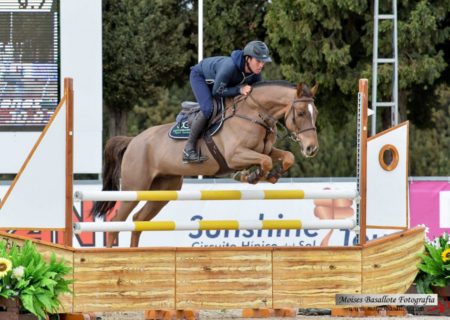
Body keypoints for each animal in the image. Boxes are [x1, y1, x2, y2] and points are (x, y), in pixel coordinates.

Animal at [92, 80, 320, 248]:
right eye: (301, 113)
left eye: (315, 113)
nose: (312, 148)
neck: (254, 113)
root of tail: (133, 141)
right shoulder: (235, 155)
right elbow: (264, 161)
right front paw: (250, 176)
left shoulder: (265, 150)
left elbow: (286, 156)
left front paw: (270, 175)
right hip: (134, 187)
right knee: (116, 221)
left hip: (164, 190)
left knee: (139, 219)